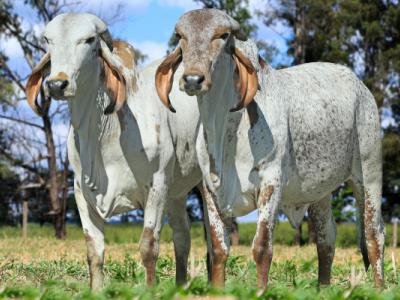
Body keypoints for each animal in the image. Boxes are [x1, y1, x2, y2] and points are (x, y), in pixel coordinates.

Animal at [25, 12, 202, 290]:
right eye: (47, 40)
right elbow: (94, 251)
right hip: (177, 194)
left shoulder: (157, 186)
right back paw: (181, 286)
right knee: (182, 235)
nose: (56, 84)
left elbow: (148, 247)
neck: (103, 134)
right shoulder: (81, 193)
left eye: (88, 40)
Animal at [155, 8, 384, 290]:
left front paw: (261, 291)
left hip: (368, 174)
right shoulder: (209, 188)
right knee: (326, 239)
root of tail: (360, 86)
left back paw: (380, 289)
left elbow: (262, 248)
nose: (193, 79)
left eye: (223, 35)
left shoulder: (271, 182)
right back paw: (323, 288)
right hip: (320, 191)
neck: (226, 128)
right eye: (181, 36)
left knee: (374, 235)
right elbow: (219, 249)